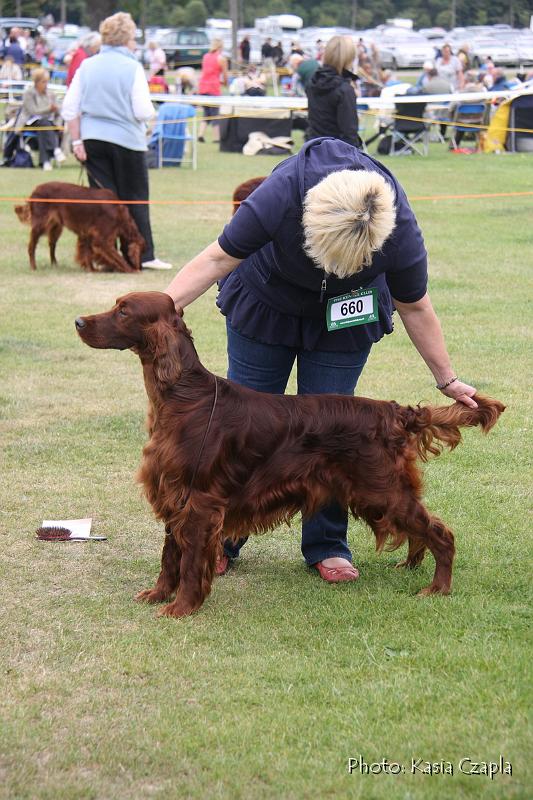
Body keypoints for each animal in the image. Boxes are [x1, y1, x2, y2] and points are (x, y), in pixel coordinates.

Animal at [16, 181, 145, 272]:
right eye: (141, 253)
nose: (139, 267)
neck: (119, 212)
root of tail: (35, 190)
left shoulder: (88, 234)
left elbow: (87, 253)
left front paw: (91, 269)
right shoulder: (101, 240)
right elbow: (118, 257)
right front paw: (131, 270)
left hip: (56, 226)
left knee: (52, 244)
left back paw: (54, 264)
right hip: (40, 224)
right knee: (31, 246)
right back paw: (33, 267)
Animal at [75, 292, 502, 620]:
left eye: (124, 310)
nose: (78, 321)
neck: (184, 397)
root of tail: (394, 411)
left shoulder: (199, 502)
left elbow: (190, 561)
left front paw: (181, 608)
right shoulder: (173, 494)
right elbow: (169, 555)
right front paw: (157, 594)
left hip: (382, 490)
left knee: (441, 533)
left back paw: (437, 587)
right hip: (379, 495)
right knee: (418, 531)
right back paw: (412, 566)